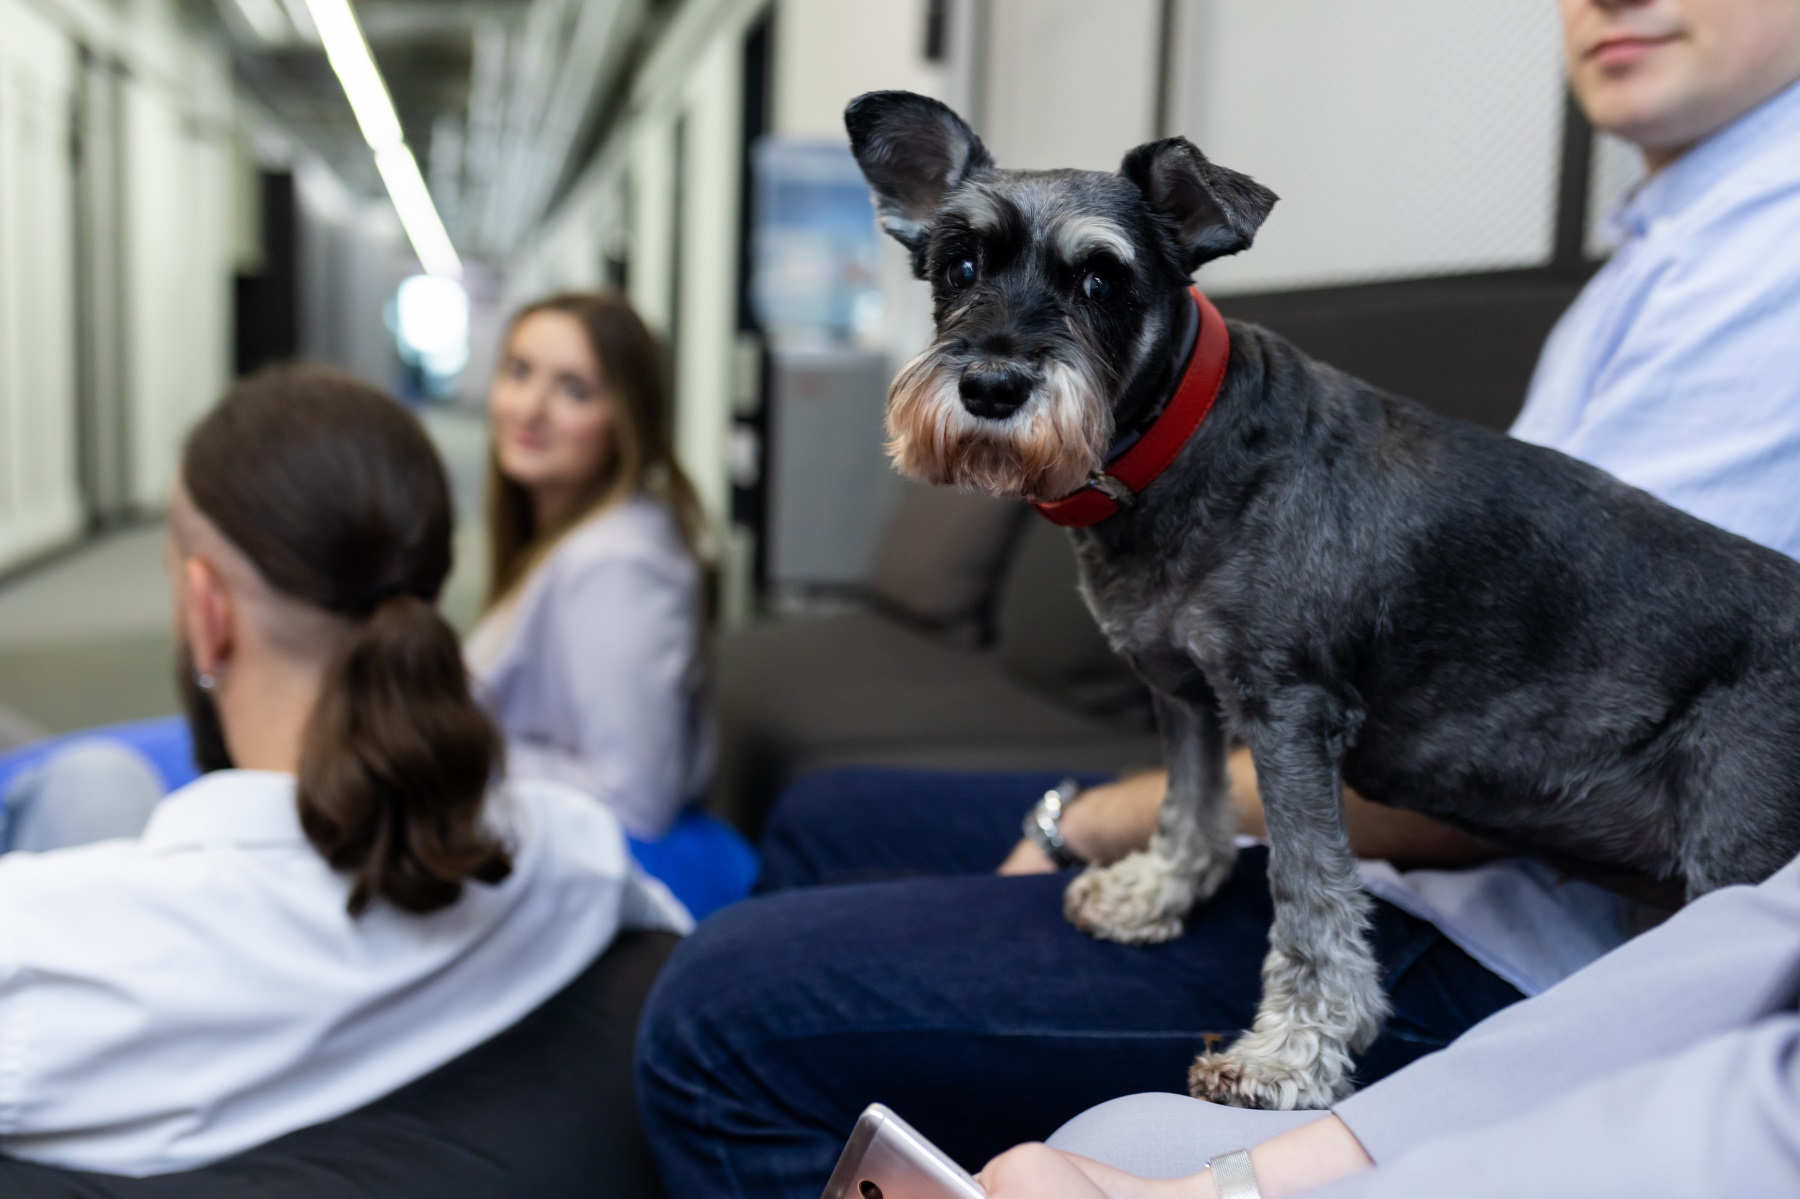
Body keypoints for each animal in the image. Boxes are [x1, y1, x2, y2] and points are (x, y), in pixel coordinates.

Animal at [842, 88, 1800, 1108]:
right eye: (960, 263)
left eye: (1101, 279)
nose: (991, 386)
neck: (1183, 445)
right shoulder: (1184, 691)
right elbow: (1191, 804)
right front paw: (1155, 892)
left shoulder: (1292, 714)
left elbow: (1308, 890)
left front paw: (1290, 1053)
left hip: (1741, 856)